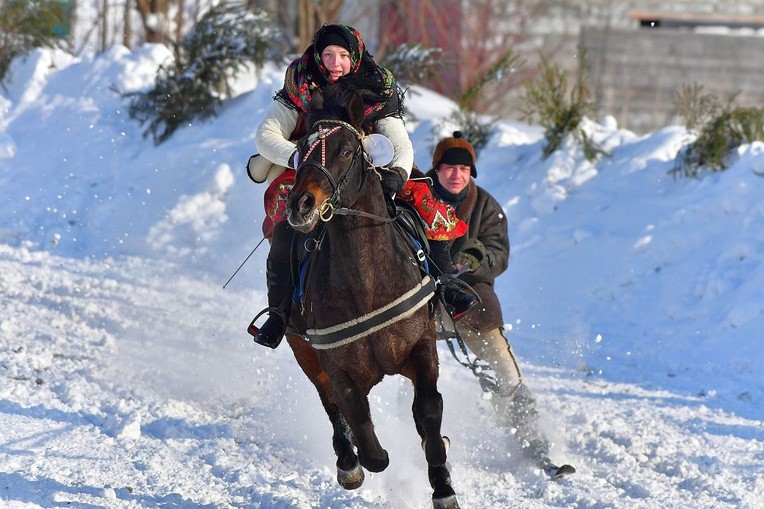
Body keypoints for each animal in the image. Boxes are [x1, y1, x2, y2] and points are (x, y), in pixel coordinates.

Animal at [282, 81, 456, 506]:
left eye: (346, 150)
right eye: (301, 148)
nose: (301, 204)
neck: (368, 286)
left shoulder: (420, 344)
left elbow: (428, 410)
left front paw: (442, 484)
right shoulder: (336, 365)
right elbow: (359, 424)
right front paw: (359, 461)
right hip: (301, 348)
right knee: (330, 405)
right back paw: (348, 461)